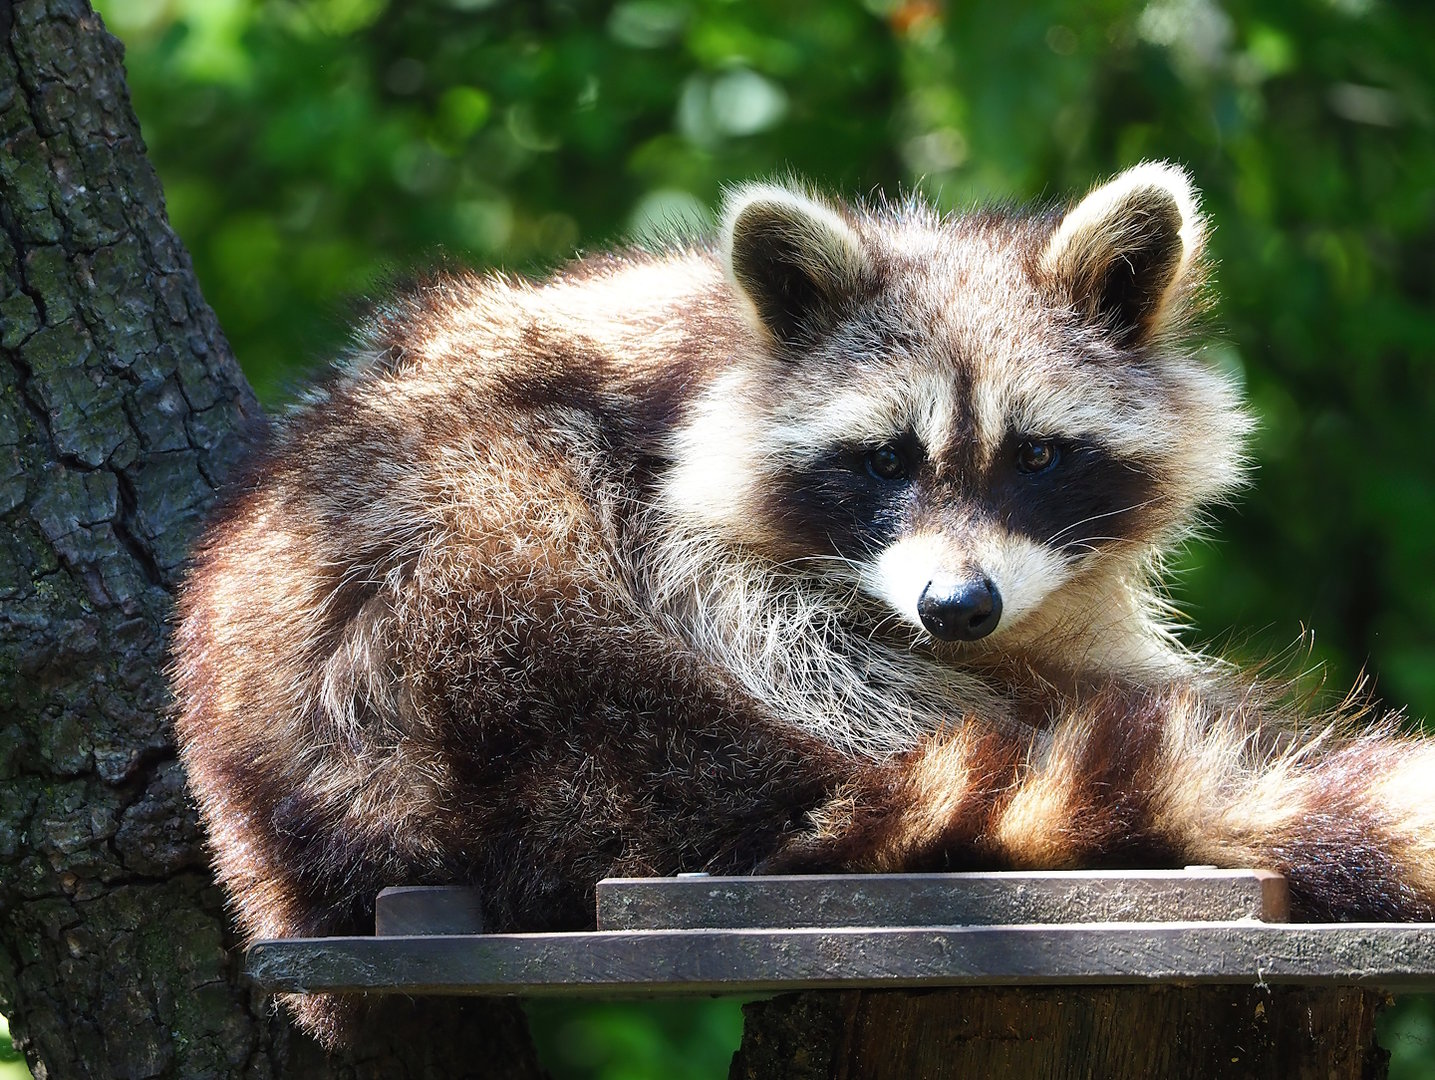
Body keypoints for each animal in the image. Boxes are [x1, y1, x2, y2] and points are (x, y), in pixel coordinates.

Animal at [173, 163, 1435, 1045]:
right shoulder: (677, 503)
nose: (957, 608)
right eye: (882, 460)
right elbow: (781, 615)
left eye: (1036, 455)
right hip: (462, 578)